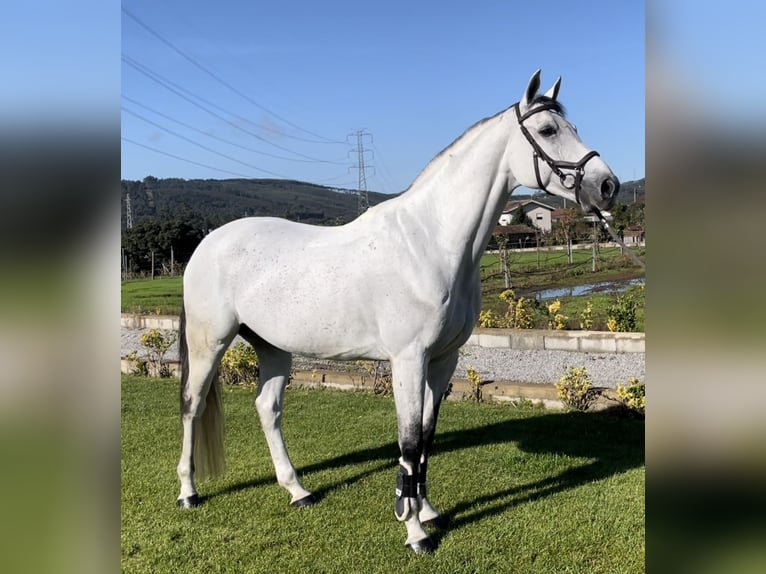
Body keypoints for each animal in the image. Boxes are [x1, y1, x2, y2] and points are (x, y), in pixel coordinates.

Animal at [177, 70, 620, 556]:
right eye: (547, 130)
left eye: (572, 126)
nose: (607, 186)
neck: (429, 243)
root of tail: (207, 243)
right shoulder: (408, 360)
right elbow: (408, 442)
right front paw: (415, 534)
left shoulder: (443, 361)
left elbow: (425, 437)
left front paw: (425, 510)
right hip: (211, 342)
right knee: (192, 405)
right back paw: (188, 493)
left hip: (274, 348)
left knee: (267, 408)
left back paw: (298, 491)